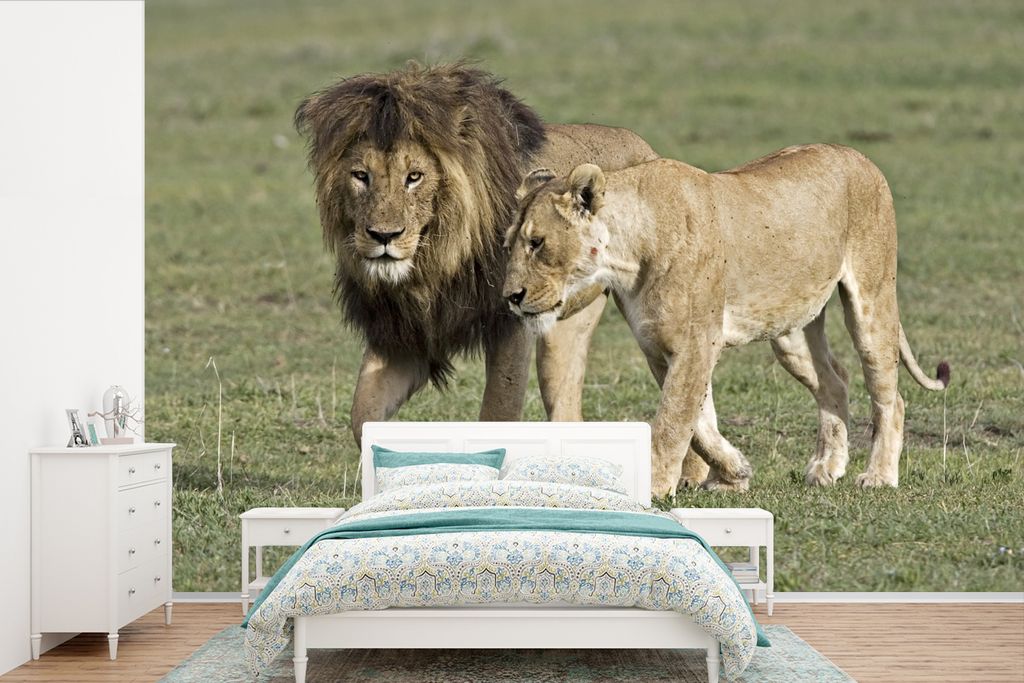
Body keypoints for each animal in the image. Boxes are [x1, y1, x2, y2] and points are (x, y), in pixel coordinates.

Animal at [294, 63, 658, 442]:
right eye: (360, 175)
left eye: (414, 177)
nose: (384, 236)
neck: (435, 263)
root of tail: (641, 143)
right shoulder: (405, 334)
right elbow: (362, 414)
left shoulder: (510, 324)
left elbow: (499, 410)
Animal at [503, 144, 949, 496]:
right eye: (508, 245)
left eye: (537, 242)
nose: (510, 297)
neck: (627, 253)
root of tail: (857, 154)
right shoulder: (658, 346)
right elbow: (700, 421)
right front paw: (733, 474)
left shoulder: (696, 342)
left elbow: (672, 422)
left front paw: (654, 488)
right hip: (790, 331)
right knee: (834, 381)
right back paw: (827, 467)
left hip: (872, 298)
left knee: (890, 395)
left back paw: (879, 476)